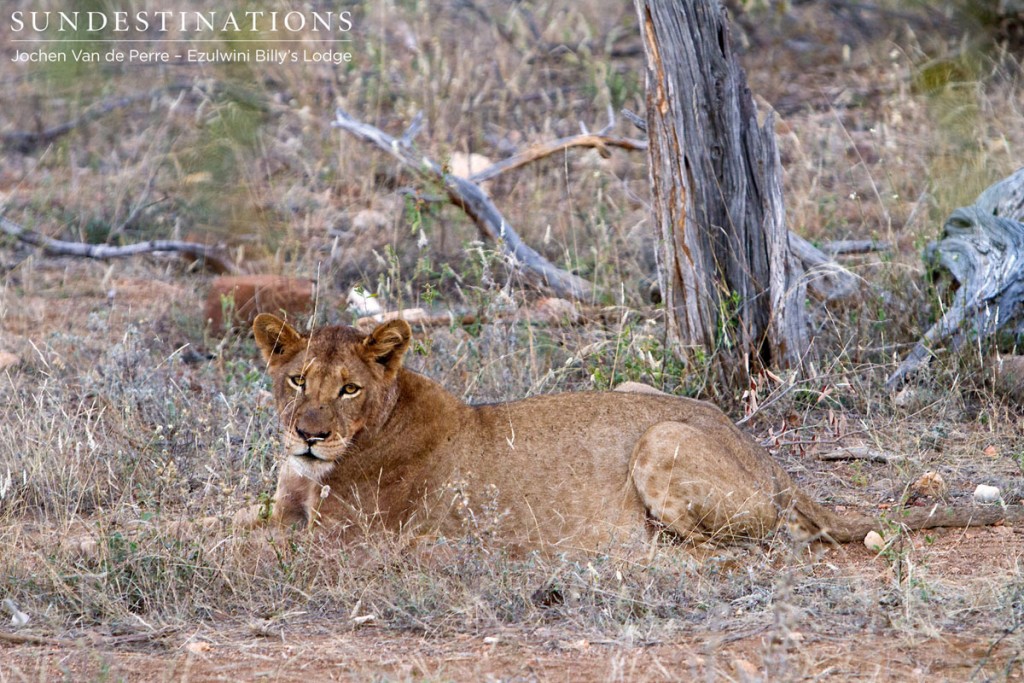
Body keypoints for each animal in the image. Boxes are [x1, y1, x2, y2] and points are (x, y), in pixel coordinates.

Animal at [251, 315, 1019, 557]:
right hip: (636, 390)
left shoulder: (347, 539)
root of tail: (770, 461)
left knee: (743, 542)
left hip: (661, 438)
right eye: (297, 380)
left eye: (348, 388)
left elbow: (242, 544)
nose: (309, 434)